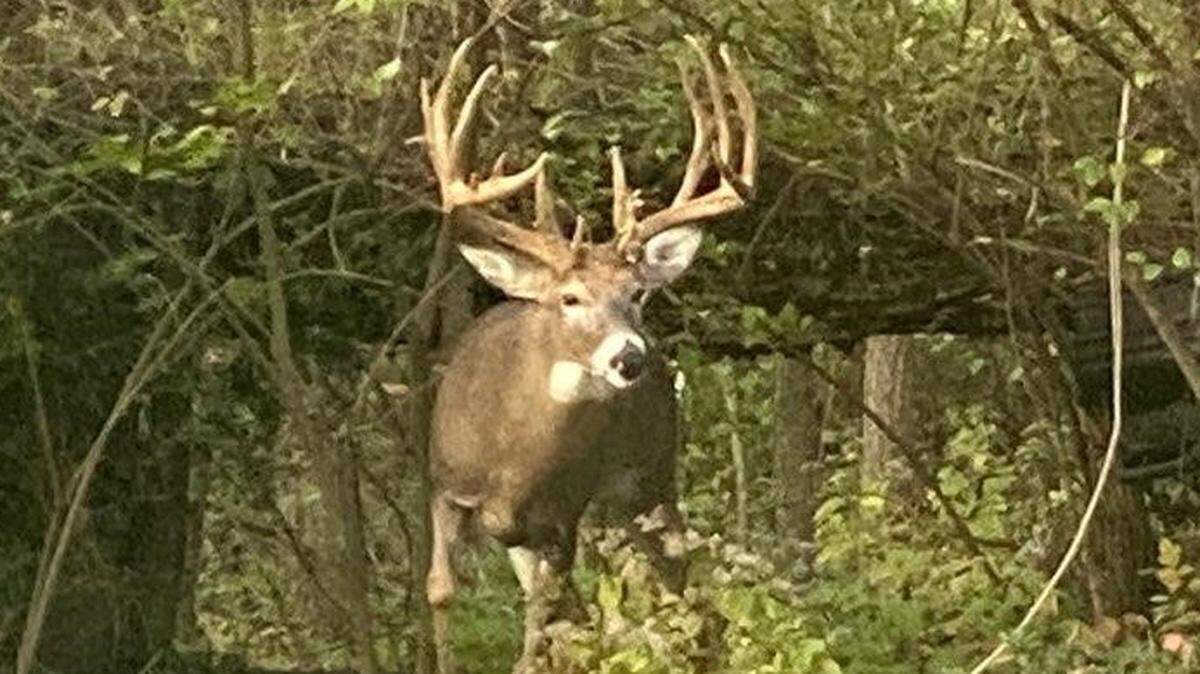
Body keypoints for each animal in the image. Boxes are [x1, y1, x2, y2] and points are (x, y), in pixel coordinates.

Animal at [416, 35, 756, 674]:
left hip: (650, 476)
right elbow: (442, 592)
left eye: (637, 294)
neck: (512, 457)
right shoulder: (445, 486)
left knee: (675, 580)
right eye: (570, 297)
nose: (630, 358)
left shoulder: (563, 515)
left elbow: (545, 625)